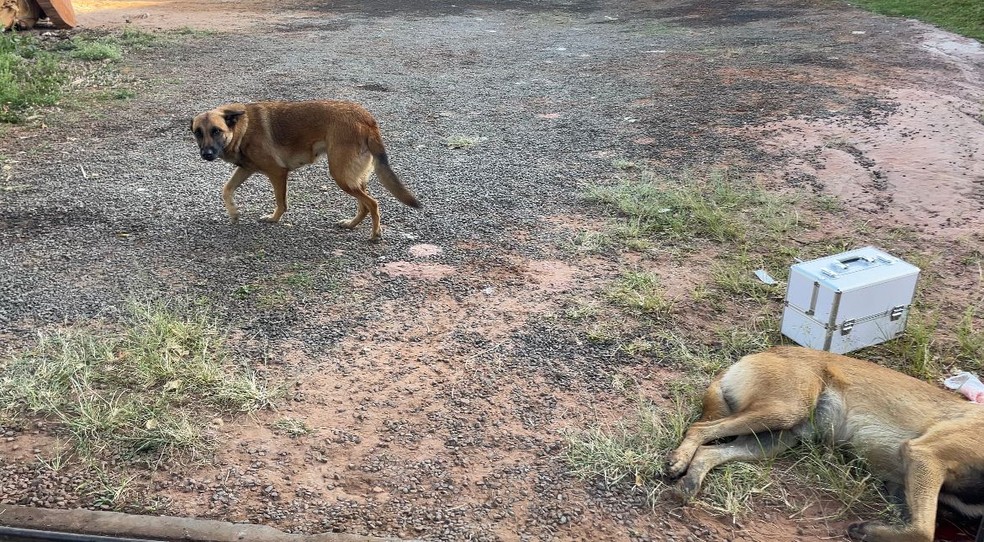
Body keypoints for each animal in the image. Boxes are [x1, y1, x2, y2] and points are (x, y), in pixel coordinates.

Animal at [191, 101, 418, 241]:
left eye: (216, 131)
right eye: (198, 133)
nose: (206, 154)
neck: (242, 128)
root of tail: (367, 119)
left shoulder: (277, 172)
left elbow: (281, 202)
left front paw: (273, 219)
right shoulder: (246, 169)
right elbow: (226, 189)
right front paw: (234, 213)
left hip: (341, 175)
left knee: (373, 203)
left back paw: (375, 234)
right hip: (352, 177)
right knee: (364, 205)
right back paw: (351, 224)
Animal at [668, 348, 984, 542]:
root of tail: (767, 351)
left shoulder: (900, 481)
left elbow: (917, 525)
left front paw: (874, 530)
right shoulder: (925, 456)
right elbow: (924, 530)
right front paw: (866, 530)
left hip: (774, 439)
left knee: (709, 451)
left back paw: (690, 482)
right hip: (783, 410)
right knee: (700, 429)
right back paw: (679, 461)